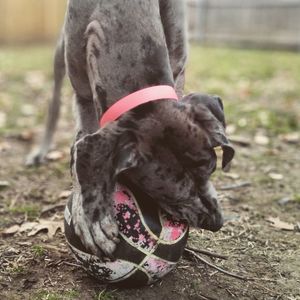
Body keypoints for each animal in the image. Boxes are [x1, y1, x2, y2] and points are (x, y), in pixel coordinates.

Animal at [26, 0, 234, 258]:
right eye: (169, 195)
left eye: (211, 170)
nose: (216, 222)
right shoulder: (84, 99)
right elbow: (79, 153)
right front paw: (90, 216)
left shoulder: (178, 66)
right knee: (54, 101)